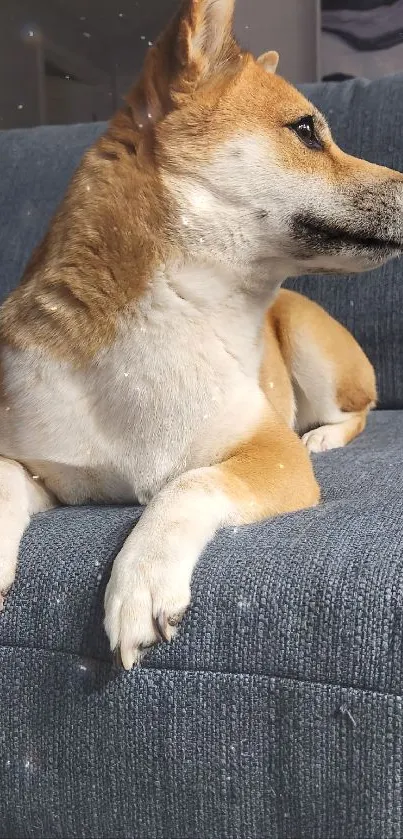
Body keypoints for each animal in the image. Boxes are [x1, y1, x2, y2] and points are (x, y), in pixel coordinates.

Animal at [0, 0, 403, 668]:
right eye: (306, 131)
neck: (182, 308)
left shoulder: (271, 455)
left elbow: (189, 483)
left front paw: (142, 578)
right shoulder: (41, 463)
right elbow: (5, 476)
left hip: (310, 349)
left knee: (356, 411)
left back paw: (324, 437)